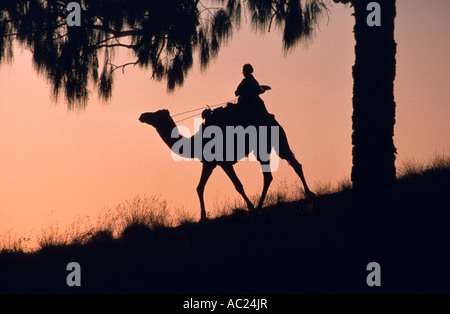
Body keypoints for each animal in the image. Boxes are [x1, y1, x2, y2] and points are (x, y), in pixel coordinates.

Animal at [139, 106, 314, 221]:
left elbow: (238, 185)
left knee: (278, 170)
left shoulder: (223, 162)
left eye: (156, 115)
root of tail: (272, 117)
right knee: (288, 166)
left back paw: (261, 205)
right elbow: (199, 187)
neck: (196, 142)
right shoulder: (209, 163)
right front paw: (202, 217)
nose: (142, 115)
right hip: (272, 143)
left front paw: (250, 207)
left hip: (272, 142)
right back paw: (307, 193)